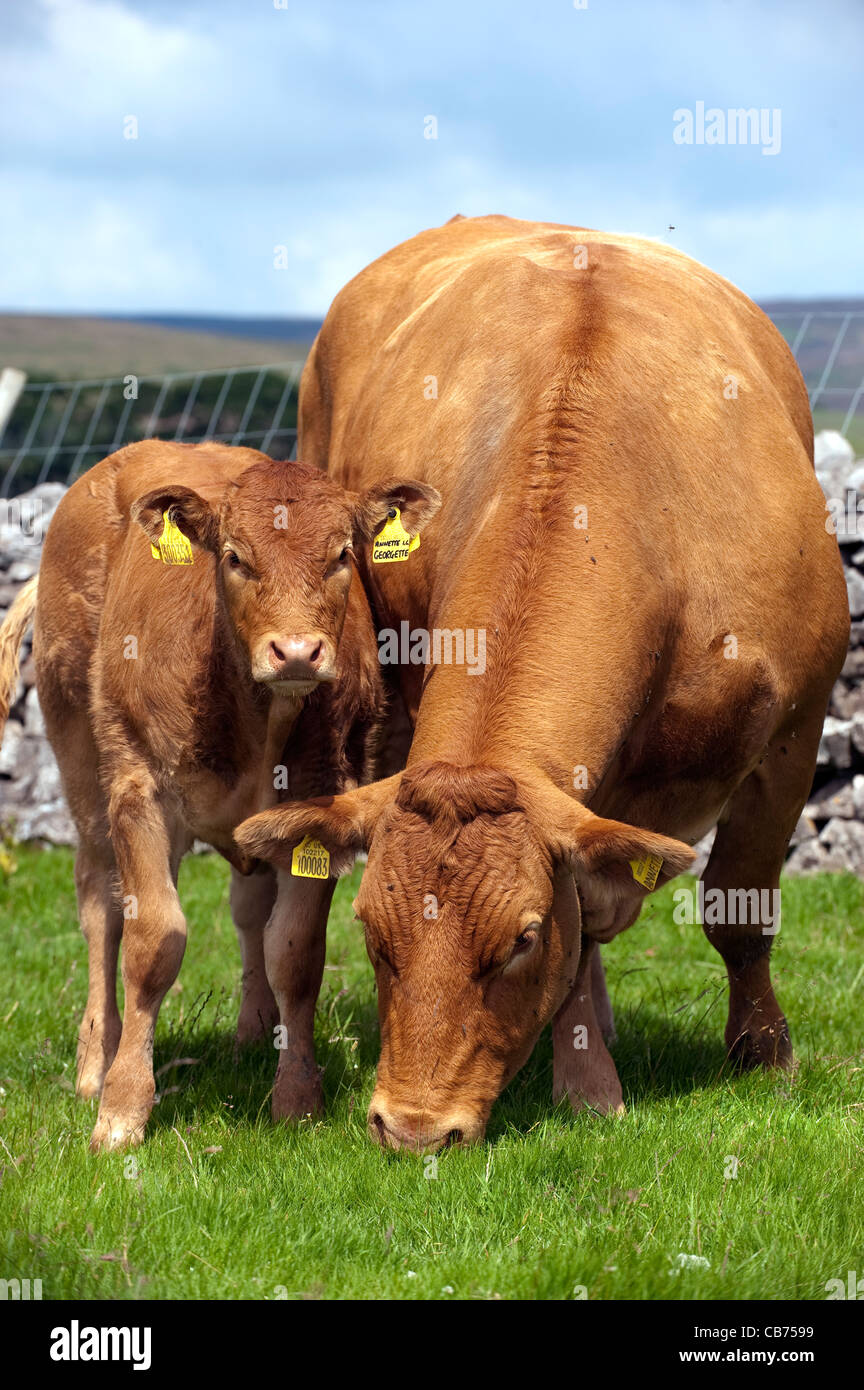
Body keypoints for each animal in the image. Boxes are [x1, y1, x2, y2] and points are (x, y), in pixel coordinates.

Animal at [0, 440, 439, 1150]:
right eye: (234, 557)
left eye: (342, 555)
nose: (296, 651)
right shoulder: (141, 794)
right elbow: (153, 941)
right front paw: (121, 1110)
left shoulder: (319, 804)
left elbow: (294, 951)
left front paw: (297, 1095)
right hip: (82, 766)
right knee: (99, 907)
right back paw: (95, 1061)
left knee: (249, 909)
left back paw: (254, 1032)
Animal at [235, 215, 850, 1153]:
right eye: (371, 932)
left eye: (522, 939)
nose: (413, 1128)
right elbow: (588, 921)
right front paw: (589, 1077)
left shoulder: (794, 729)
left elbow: (736, 910)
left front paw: (763, 1056)